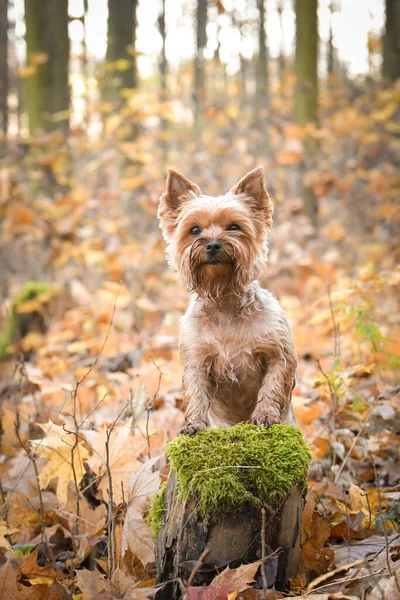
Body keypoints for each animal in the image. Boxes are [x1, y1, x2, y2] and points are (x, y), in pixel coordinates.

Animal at [158, 166, 296, 434]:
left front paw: (265, 415)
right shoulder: (197, 360)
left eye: (234, 227)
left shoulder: (278, 354)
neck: (223, 298)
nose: (212, 244)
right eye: (194, 230)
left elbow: (272, 386)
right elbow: (196, 393)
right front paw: (194, 424)